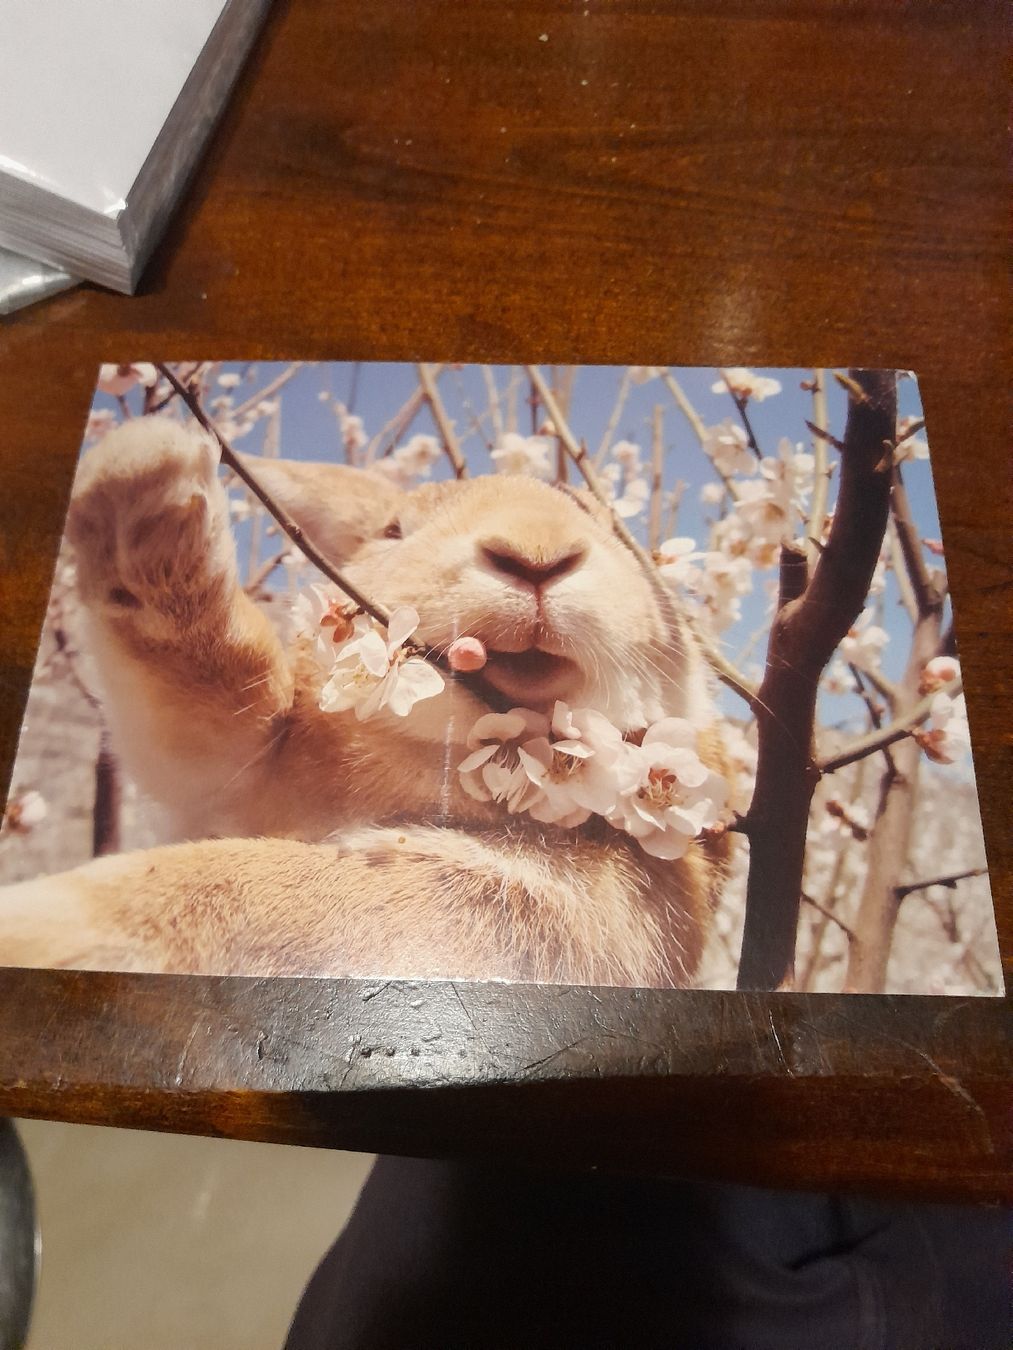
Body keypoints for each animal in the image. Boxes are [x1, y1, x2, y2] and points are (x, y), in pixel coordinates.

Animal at [0, 416, 729, 985]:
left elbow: (231, 887)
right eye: (393, 531)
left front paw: (41, 927)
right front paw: (143, 480)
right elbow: (216, 697)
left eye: (617, 536)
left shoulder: (553, 904)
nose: (536, 554)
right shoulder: (232, 766)